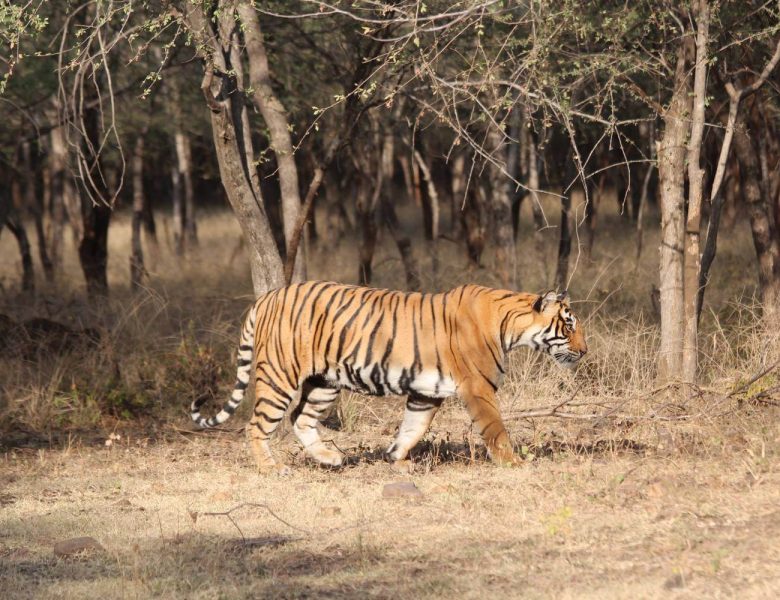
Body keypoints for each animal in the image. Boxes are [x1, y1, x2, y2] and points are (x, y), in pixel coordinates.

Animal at [192, 282, 588, 474]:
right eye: (569, 326)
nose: (585, 352)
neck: (509, 324)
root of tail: (267, 297)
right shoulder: (479, 387)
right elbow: (496, 429)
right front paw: (513, 463)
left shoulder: (427, 393)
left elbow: (413, 428)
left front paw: (396, 458)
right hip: (280, 375)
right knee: (257, 425)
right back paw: (272, 468)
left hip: (324, 382)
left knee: (300, 419)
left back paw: (330, 459)